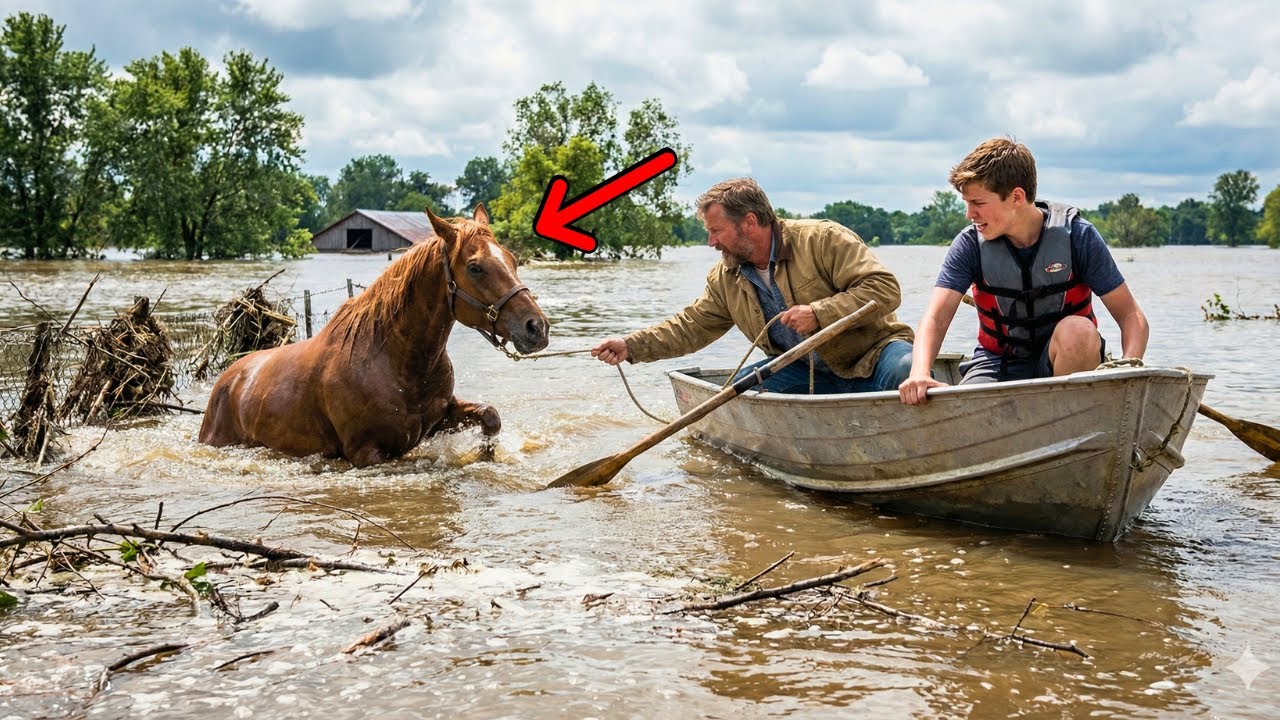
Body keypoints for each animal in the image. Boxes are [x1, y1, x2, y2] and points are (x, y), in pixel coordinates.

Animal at [198, 204, 549, 468]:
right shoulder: (368, 453)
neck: (395, 360)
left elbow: (490, 416)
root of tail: (228, 379)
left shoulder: (438, 420)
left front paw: (485, 454)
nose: (537, 327)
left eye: (512, 259)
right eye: (475, 267)